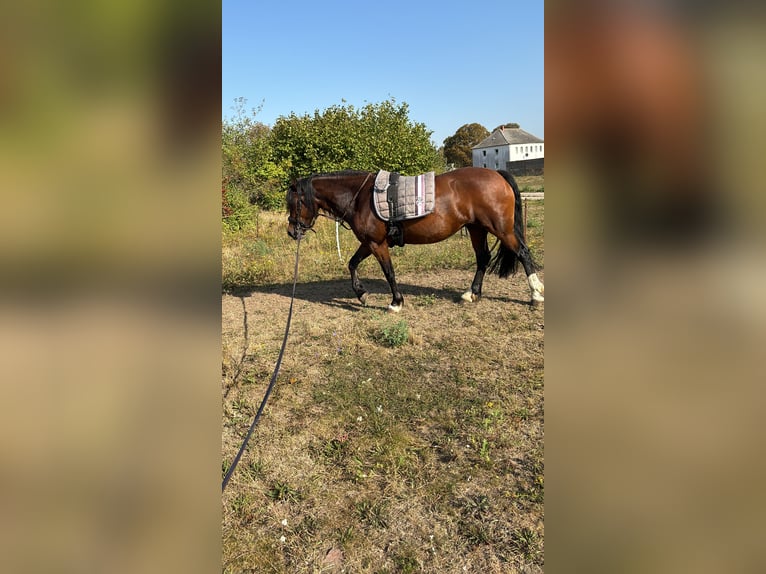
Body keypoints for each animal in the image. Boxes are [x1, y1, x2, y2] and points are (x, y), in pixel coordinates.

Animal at [288, 166, 544, 312]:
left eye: (294, 202)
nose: (292, 232)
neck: (359, 197)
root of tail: (496, 174)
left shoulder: (377, 244)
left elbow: (389, 272)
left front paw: (396, 302)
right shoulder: (368, 243)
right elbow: (352, 263)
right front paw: (361, 294)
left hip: (500, 229)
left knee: (523, 253)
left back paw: (535, 294)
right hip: (476, 228)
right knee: (483, 258)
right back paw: (472, 294)